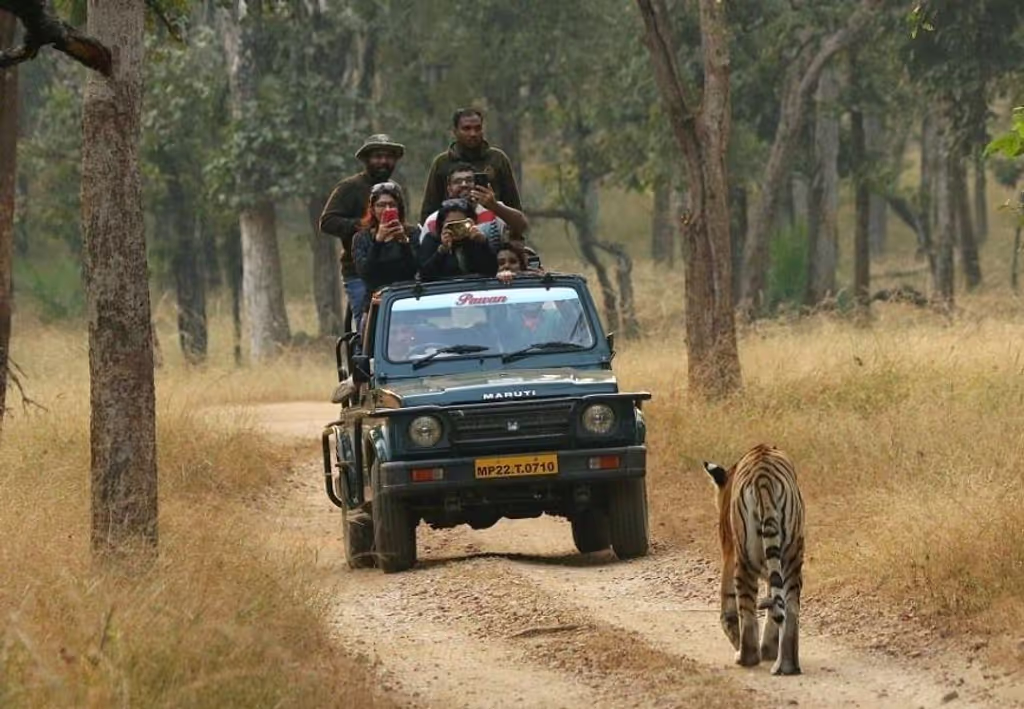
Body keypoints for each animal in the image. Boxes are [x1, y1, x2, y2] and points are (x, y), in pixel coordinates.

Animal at [703, 444, 804, 675]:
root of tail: (763, 476)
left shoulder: (729, 551)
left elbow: (729, 605)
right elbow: (773, 603)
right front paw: (769, 649)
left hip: (744, 560)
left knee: (747, 611)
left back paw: (745, 657)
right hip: (792, 556)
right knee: (790, 608)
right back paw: (787, 665)